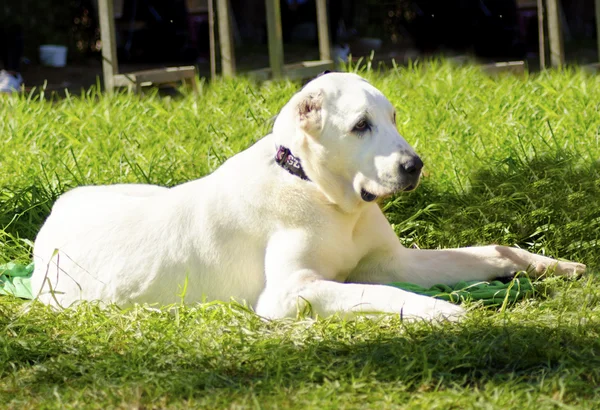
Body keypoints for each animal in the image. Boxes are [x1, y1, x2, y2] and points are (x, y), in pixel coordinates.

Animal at [29, 72, 584, 320]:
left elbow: (492, 250)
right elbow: (385, 293)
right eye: (360, 126)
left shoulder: (391, 260)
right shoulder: (288, 294)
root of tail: (54, 213)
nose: (414, 166)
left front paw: (549, 264)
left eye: (393, 118)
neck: (321, 195)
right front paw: (440, 310)